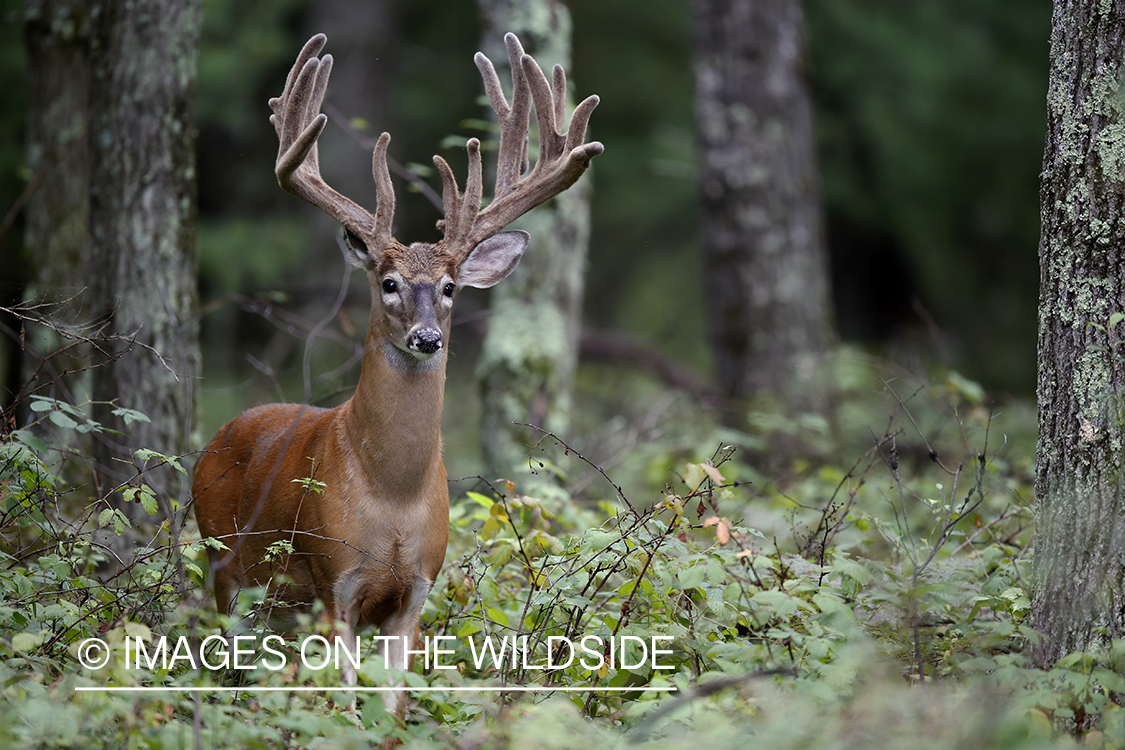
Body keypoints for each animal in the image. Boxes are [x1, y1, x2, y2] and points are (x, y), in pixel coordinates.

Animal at [190, 30, 603, 733]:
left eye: (451, 287)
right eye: (387, 282)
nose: (427, 338)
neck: (392, 498)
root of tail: (219, 435)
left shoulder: (415, 590)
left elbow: (394, 707)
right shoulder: (334, 581)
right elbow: (346, 705)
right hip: (224, 562)